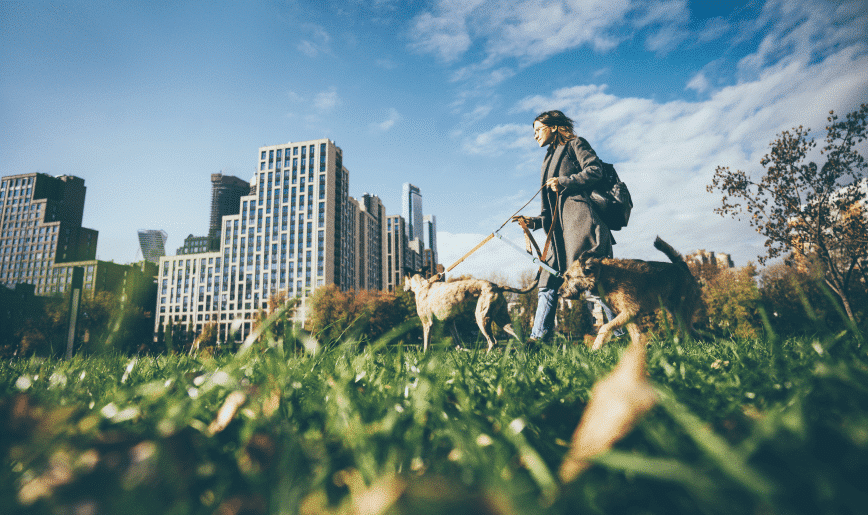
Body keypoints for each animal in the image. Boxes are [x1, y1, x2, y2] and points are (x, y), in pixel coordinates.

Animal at [404, 274, 532, 350]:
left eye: (405, 281)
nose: (404, 288)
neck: (422, 286)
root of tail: (496, 286)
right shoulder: (451, 323)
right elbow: (458, 341)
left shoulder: (427, 323)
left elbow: (426, 345)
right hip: (503, 321)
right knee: (519, 337)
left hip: (482, 318)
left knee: (493, 342)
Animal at [560, 238, 700, 350]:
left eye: (568, 277)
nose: (559, 292)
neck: (602, 274)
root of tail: (681, 265)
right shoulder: (629, 316)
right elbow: (635, 335)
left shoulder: (630, 311)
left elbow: (604, 327)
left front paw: (596, 347)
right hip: (676, 312)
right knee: (691, 329)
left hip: (682, 310)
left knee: (688, 329)